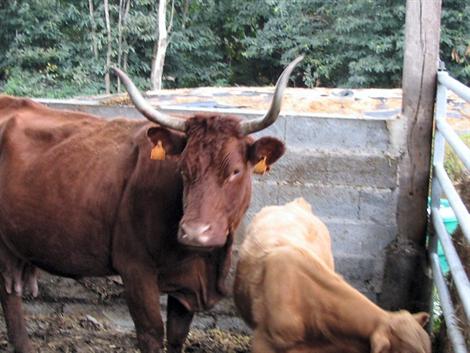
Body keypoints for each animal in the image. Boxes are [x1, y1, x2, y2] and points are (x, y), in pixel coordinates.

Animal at [0, 56, 302, 350]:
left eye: (235, 171)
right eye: (182, 169)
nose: (195, 232)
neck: (205, 264)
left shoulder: (186, 285)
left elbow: (177, 335)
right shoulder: (135, 268)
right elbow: (151, 332)